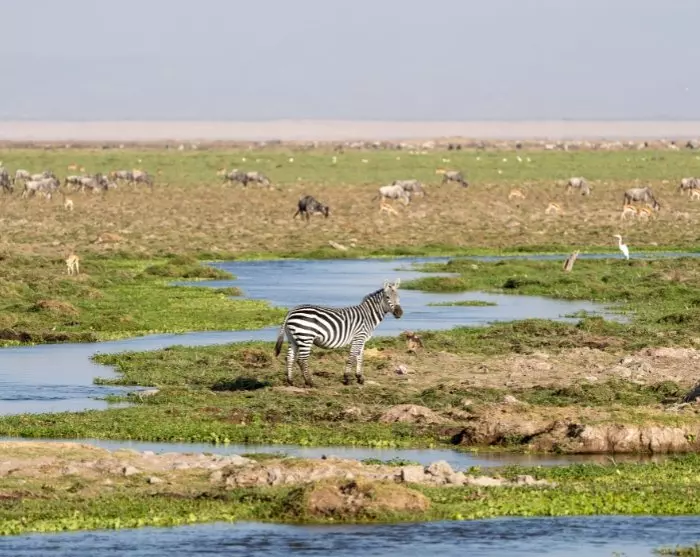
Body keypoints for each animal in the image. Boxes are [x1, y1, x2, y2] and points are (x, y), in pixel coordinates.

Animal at [274, 279, 403, 387]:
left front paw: (360, 378)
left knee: (289, 358)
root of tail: (291, 311)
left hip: (293, 339)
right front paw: (347, 379)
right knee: (302, 360)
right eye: (387, 297)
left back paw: (290, 381)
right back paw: (310, 382)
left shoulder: (362, 339)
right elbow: (352, 357)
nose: (399, 313)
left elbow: (360, 357)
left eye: (398, 296)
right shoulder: (358, 337)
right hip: (306, 337)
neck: (368, 316)